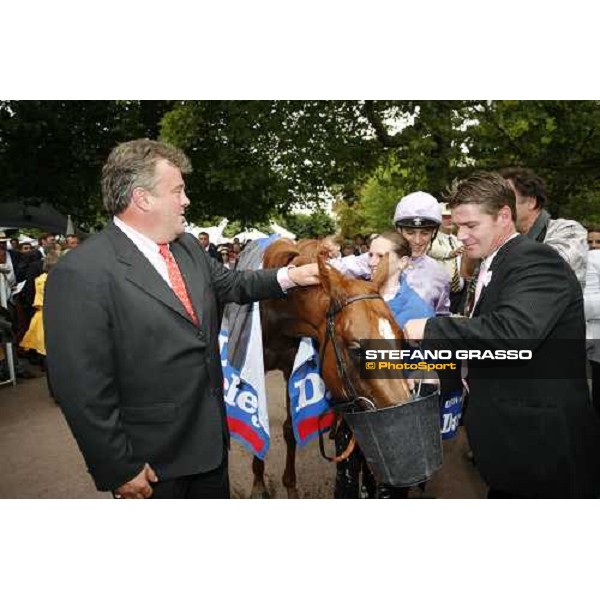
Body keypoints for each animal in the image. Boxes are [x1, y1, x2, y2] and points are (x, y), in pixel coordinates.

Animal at [250, 237, 412, 500]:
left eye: (400, 339)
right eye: (356, 348)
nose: (402, 418)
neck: (278, 309)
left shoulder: (289, 368)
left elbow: (289, 430)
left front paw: (290, 484)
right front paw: (258, 482)